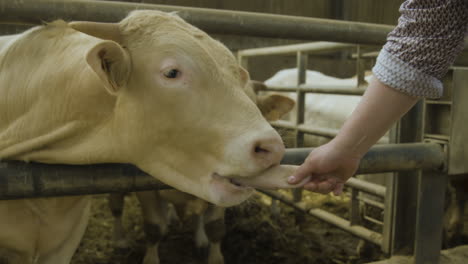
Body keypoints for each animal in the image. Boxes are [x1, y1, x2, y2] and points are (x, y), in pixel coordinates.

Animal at [108, 80, 294, 264]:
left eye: (258, 110)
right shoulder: (145, 191)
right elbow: (154, 228)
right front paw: (150, 258)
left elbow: (215, 227)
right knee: (117, 207)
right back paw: (120, 240)